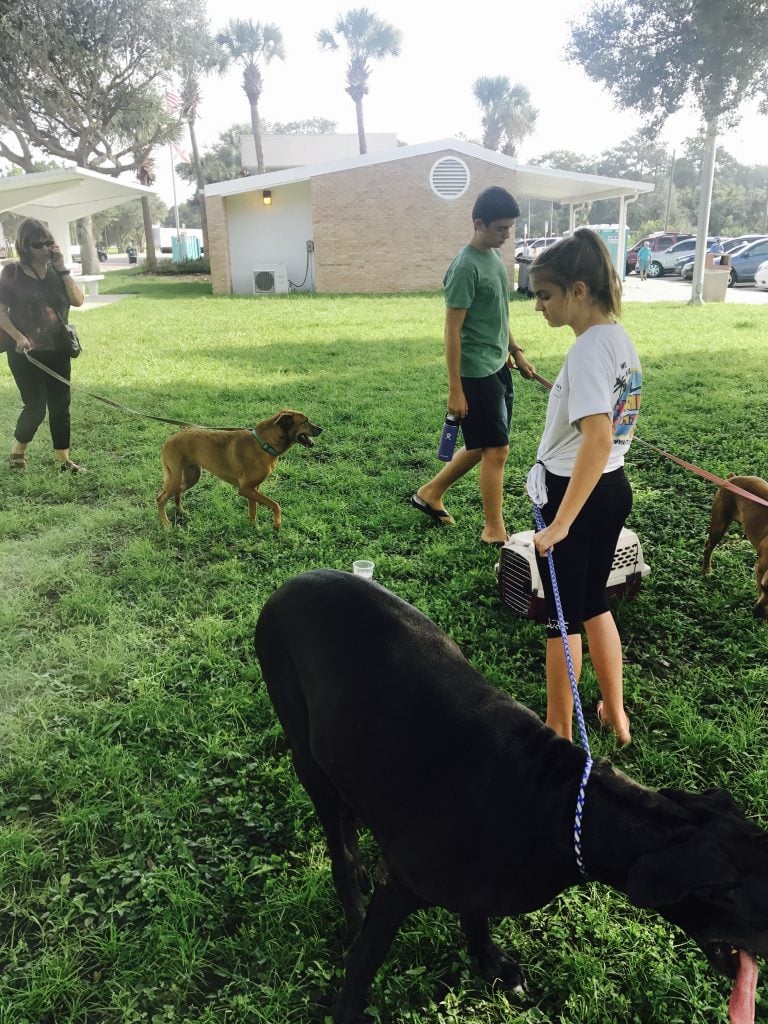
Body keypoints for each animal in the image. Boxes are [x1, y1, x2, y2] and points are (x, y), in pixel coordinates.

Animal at [157, 407, 319, 528]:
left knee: (178, 492)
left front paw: (255, 528)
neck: (264, 444)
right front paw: (276, 524)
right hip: (175, 477)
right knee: (160, 499)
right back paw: (165, 523)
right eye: (305, 421)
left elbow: (253, 511)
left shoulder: (253, 489)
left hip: (192, 475)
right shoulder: (245, 489)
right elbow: (275, 505)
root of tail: (170, 438)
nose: (321, 429)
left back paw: (181, 512)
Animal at [704, 475, 768, 618]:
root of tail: (733, 477)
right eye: (763, 587)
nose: (756, 612)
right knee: (708, 548)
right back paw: (706, 571)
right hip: (719, 526)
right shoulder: (759, 570)